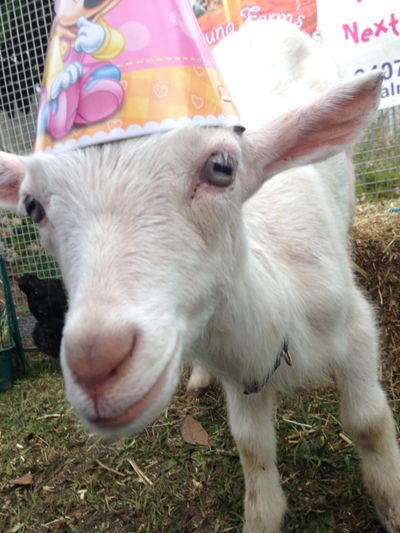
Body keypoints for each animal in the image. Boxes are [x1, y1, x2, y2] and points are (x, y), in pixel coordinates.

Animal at [0, 19, 400, 528]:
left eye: (222, 167)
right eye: (32, 205)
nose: (96, 365)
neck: (279, 306)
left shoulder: (356, 327)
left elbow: (368, 422)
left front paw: (392, 504)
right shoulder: (243, 376)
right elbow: (252, 447)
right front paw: (262, 516)